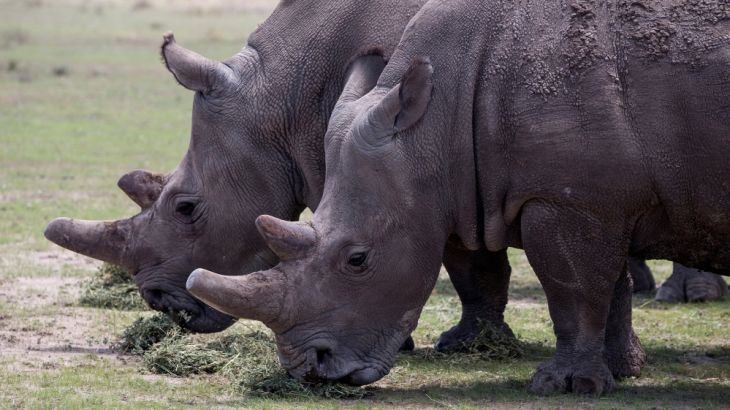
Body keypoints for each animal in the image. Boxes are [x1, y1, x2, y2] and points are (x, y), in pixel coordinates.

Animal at [43, 0, 515, 348]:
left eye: (186, 208)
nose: (159, 302)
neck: (284, 96)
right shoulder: (446, 172)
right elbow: (472, 259)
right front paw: (472, 343)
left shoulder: (427, 167)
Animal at [187, 0, 730, 395]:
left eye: (358, 260)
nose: (311, 370)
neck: (435, 118)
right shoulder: (596, 198)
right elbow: (602, 285)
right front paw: (620, 371)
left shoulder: (569, 201)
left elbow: (574, 290)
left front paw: (564, 386)